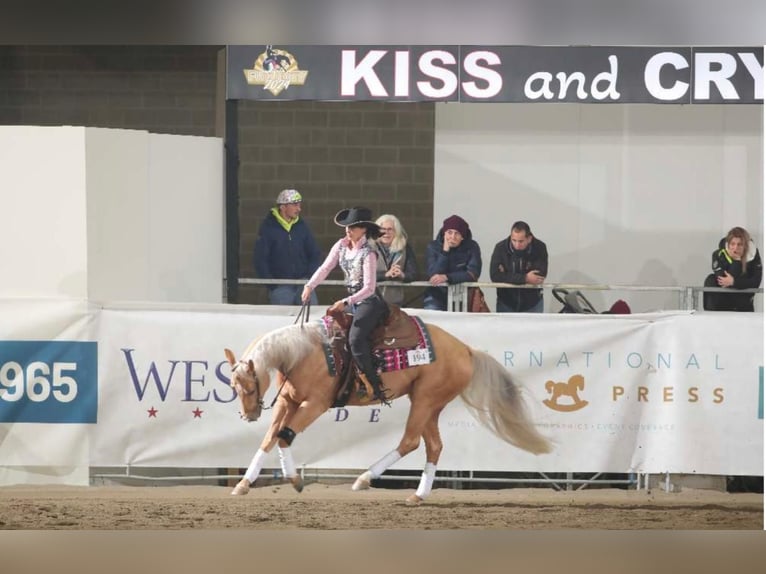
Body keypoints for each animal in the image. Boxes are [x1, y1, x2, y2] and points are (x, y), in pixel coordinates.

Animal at [225, 320, 556, 504]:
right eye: (233, 386)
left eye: (250, 387)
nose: (248, 415)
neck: (304, 353)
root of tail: (465, 349)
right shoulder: (288, 402)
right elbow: (269, 439)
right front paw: (243, 484)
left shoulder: (315, 405)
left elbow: (284, 436)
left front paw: (294, 481)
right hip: (429, 405)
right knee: (433, 446)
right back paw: (418, 495)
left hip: (424, 400)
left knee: (410, 441)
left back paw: (364, 479)